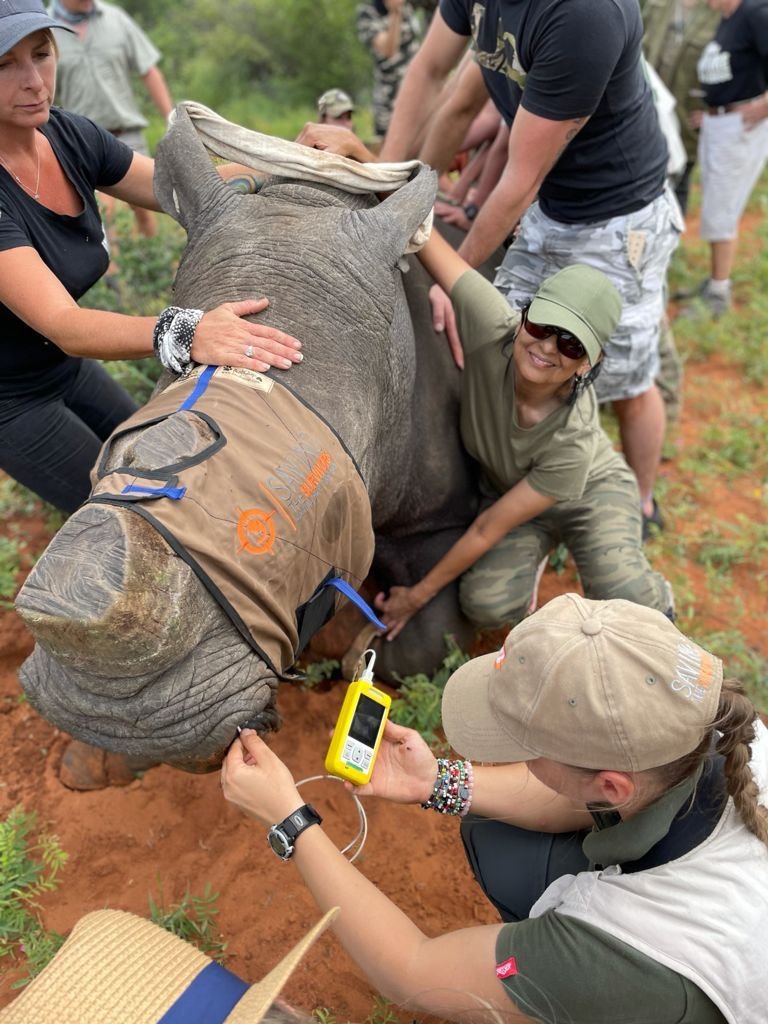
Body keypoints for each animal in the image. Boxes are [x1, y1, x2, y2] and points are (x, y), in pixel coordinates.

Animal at [14, 107, 484, 773]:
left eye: (328, 507)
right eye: (117, 452)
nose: (114, 711)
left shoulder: (442, 516)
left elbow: (423, 641)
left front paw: (351, 653)